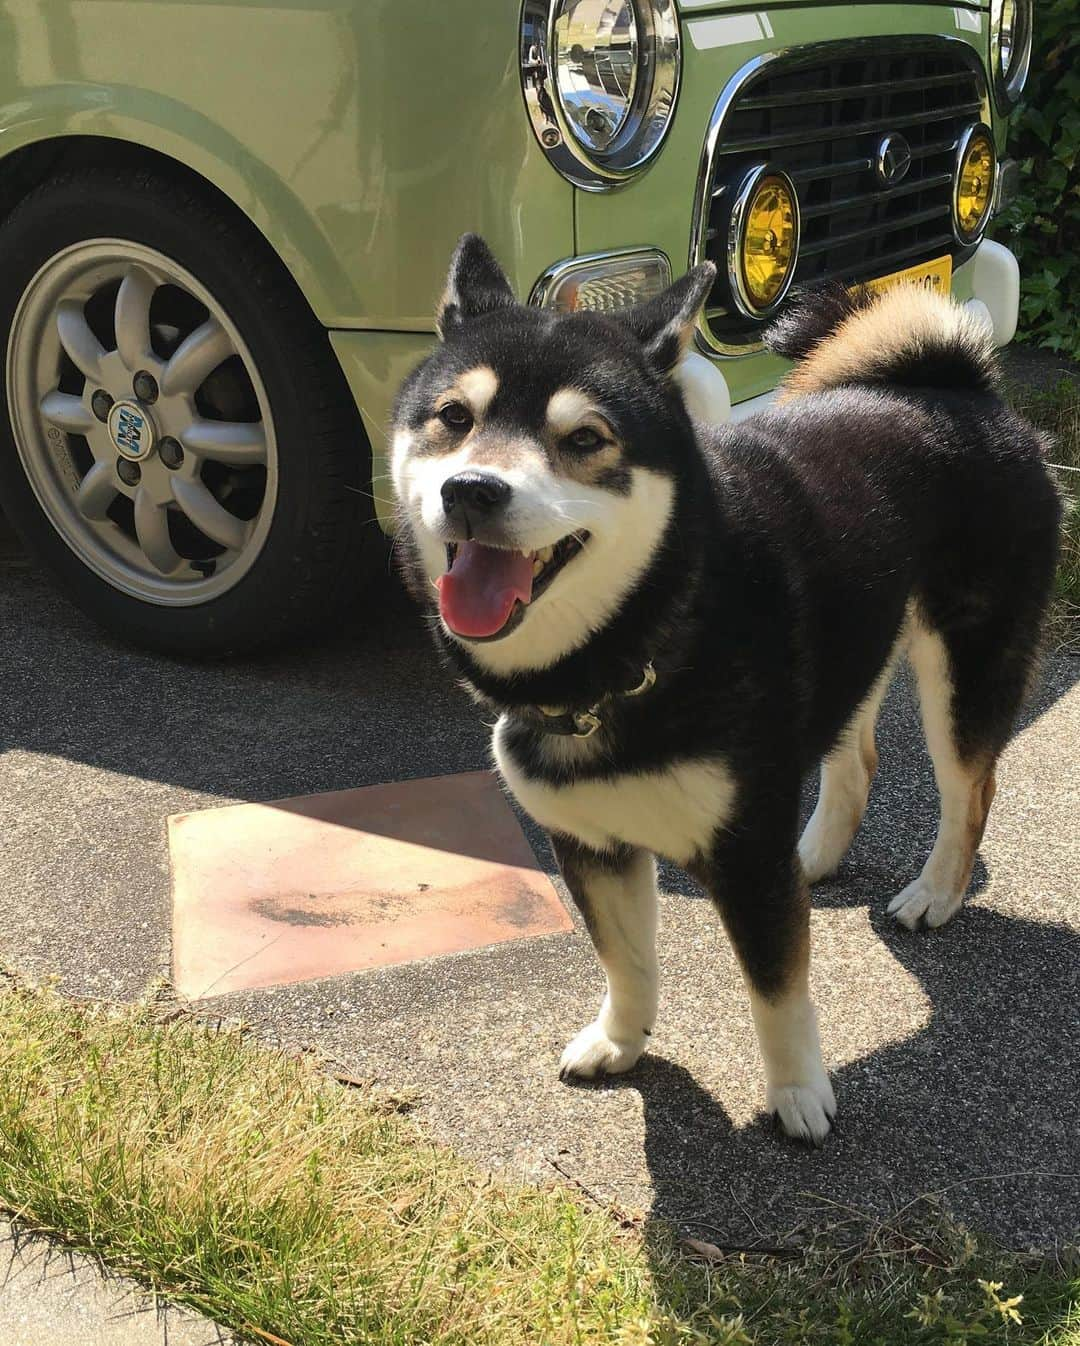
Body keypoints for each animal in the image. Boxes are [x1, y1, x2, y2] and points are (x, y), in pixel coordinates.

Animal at [390, 236, 1061, 1141]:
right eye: (454, 418)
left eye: (586, 438)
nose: (471, 490)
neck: (630, 655)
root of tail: (963, 391)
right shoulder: (592, 843)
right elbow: (626, 961)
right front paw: (621, 1040)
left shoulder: (744, 856)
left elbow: (777, 991)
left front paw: (797, 1093)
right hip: (848, 652)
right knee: (856, 762)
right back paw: (815, 855)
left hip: (964, 669)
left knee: (971, 792)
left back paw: (934, 893)